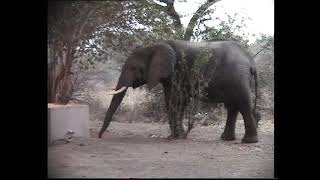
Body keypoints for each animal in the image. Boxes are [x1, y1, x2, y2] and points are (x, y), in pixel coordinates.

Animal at [99, 39, 260, 143]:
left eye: (133, 68)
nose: (100, 136)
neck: (155, 46)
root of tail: (251, 61)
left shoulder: (176, 71)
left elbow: (174, 99)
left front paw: (173, 137)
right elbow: (179, 100)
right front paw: (179, 135)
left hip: (237, 77)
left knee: (243, 103)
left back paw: (248, 141)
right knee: (232, 106)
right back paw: (226, 139)